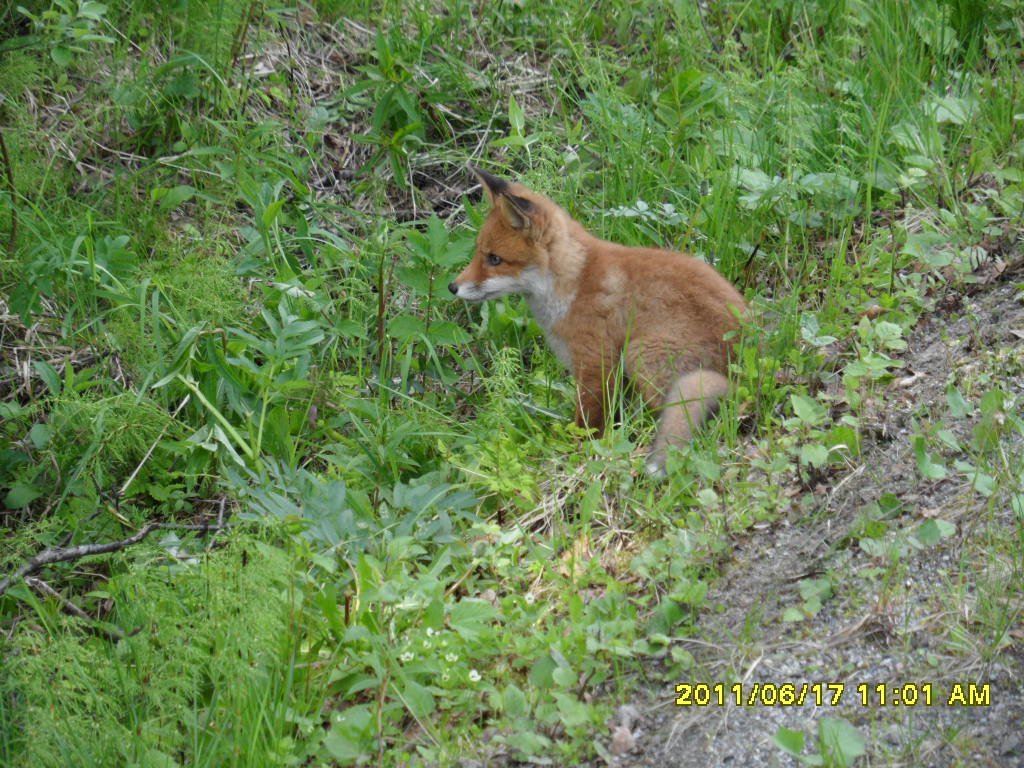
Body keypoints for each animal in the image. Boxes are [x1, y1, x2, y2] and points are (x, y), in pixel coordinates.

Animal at [448, 166, 745, 475]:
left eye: (495, 259)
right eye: (478, 252)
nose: (452, 287)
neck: (572, 284)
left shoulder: (596, 363)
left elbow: (587, 424)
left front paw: (579, 453)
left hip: (640, 354)